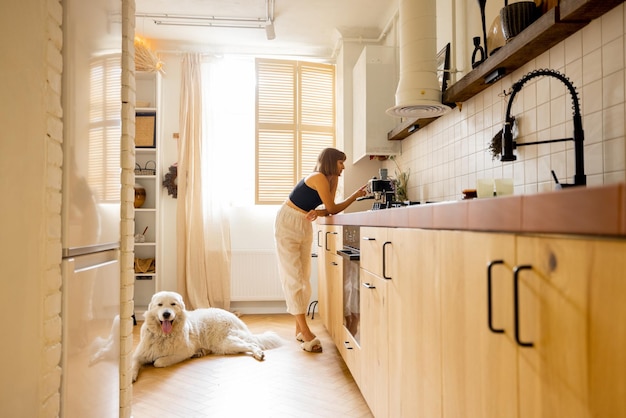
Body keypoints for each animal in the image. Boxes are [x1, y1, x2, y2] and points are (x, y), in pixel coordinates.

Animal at [132, 290, 280, 382]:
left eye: (173, 304)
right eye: (160, 304)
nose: (166, 314)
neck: (163, 335)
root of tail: (235, 317)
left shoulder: (183, 352)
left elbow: (159, 361)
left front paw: (157, 361)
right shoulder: (139, 353)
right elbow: (133, 363)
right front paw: (131, 377)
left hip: (226, 343)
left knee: (252, 344)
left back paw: (259, 354)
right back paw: (200, 352)